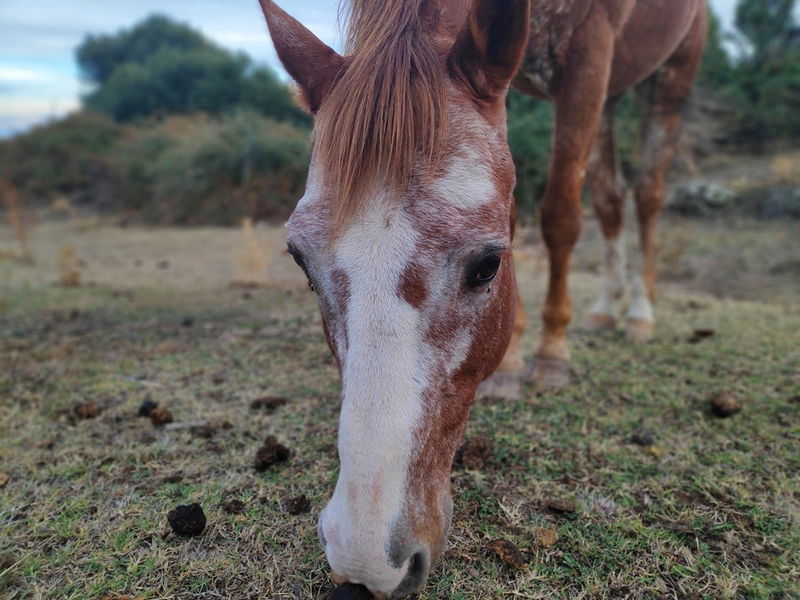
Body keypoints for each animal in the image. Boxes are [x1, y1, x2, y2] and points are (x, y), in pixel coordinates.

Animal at [258, 0, 708, 596]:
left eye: (488, 265)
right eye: (299, 261)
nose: (367, 562)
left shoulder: (588, 53)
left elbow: (560, 213)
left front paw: (551, 353)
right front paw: (514, 363)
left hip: (671, 72)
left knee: (646, 194)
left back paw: (638, 312)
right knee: (611, 199)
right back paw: (606, 309)